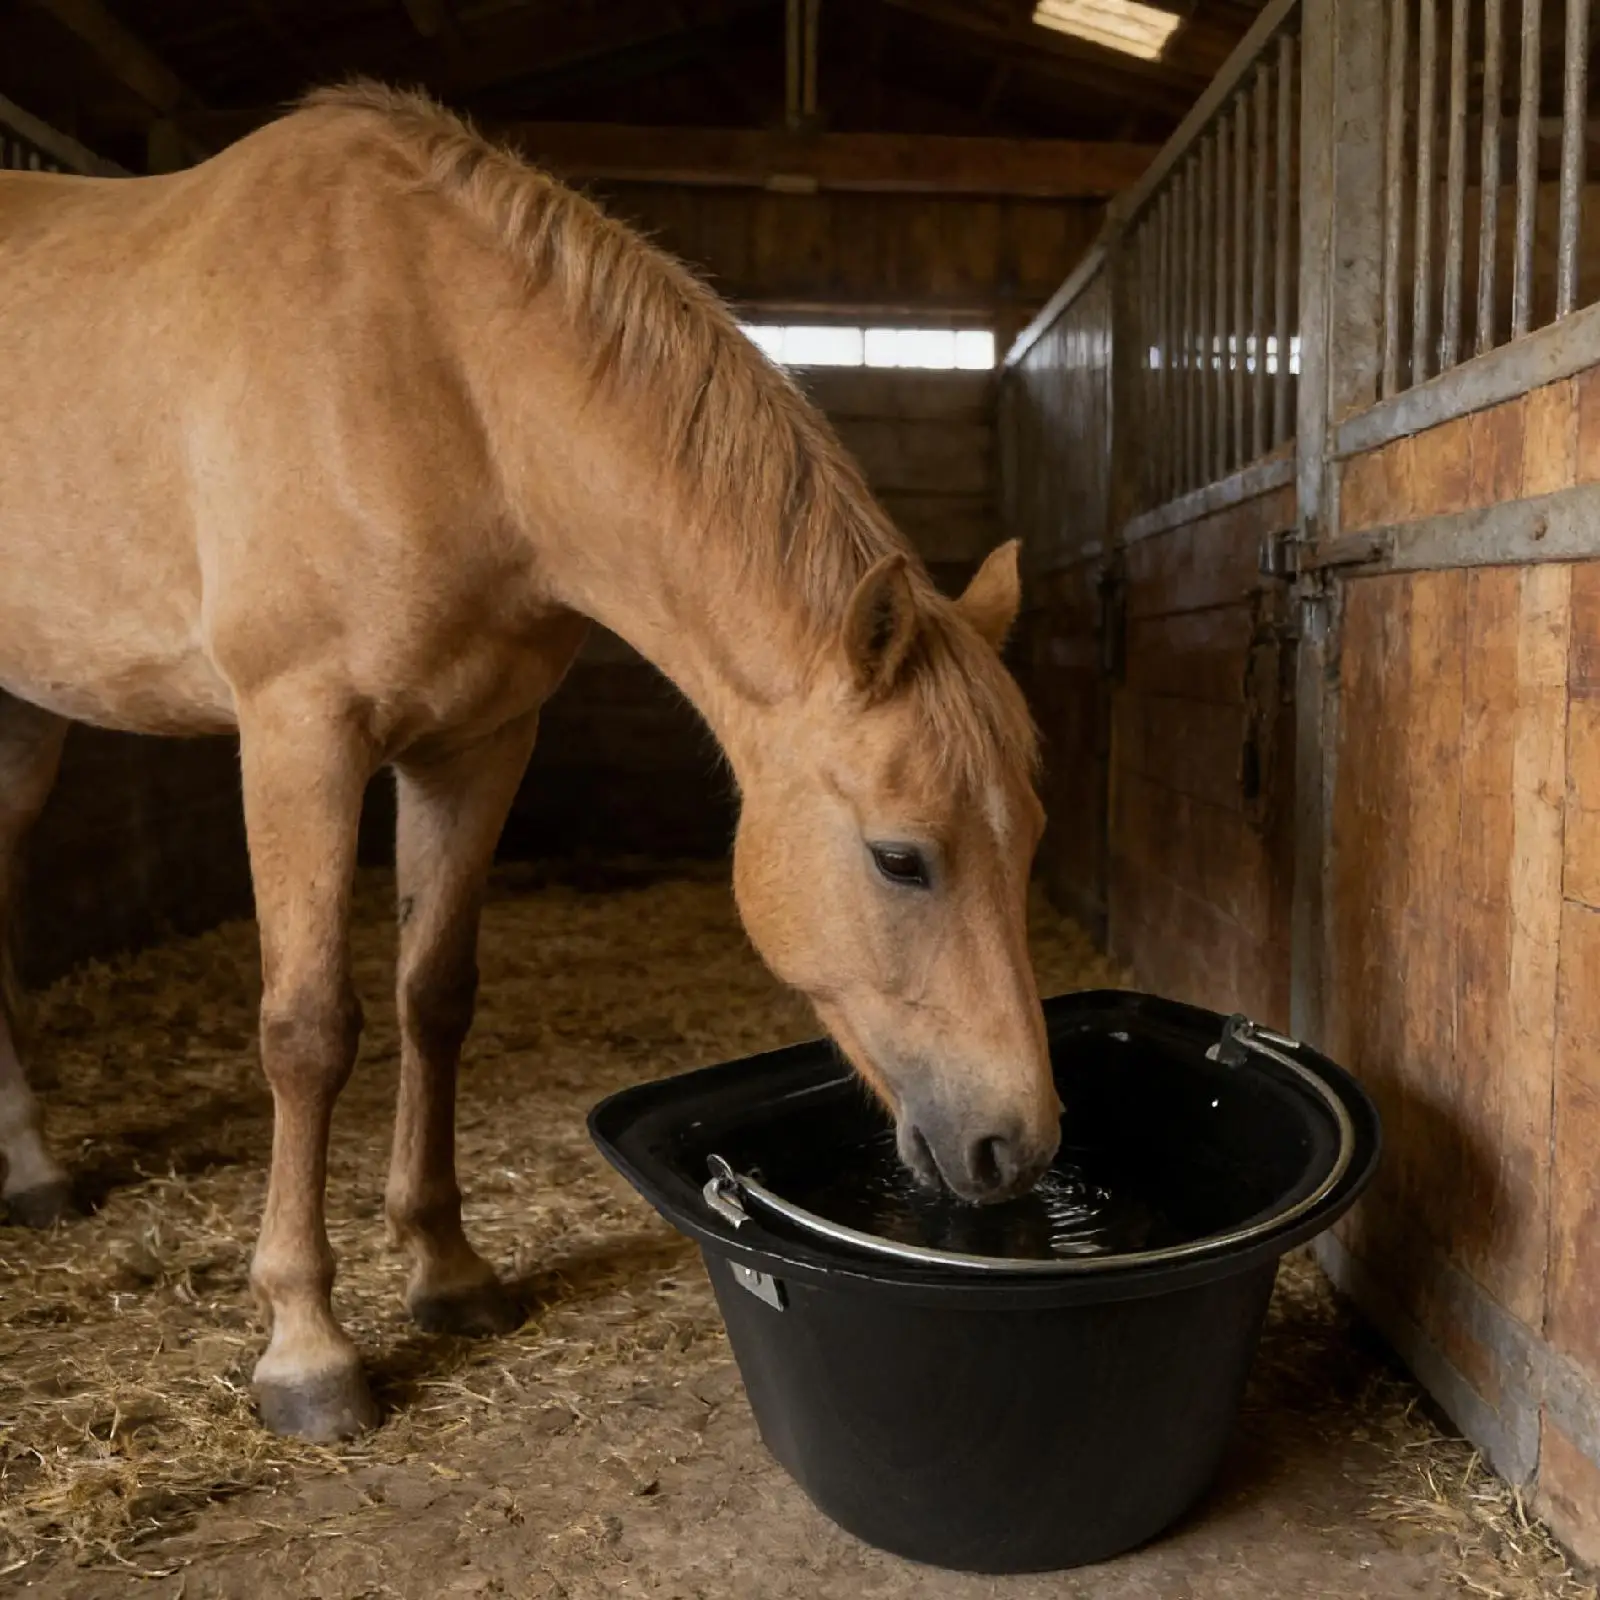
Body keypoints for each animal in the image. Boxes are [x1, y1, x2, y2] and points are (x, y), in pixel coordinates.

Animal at [0, 84, 1056, 1442]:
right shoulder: (300, 733)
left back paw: (32, 1167)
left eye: (1027, 843)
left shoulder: (477, 744)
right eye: (899, 858)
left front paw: (447, 1270)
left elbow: (433, 997)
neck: (438, 378)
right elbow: (308, 1028)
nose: (1017, 1146)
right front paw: (306, 1346)